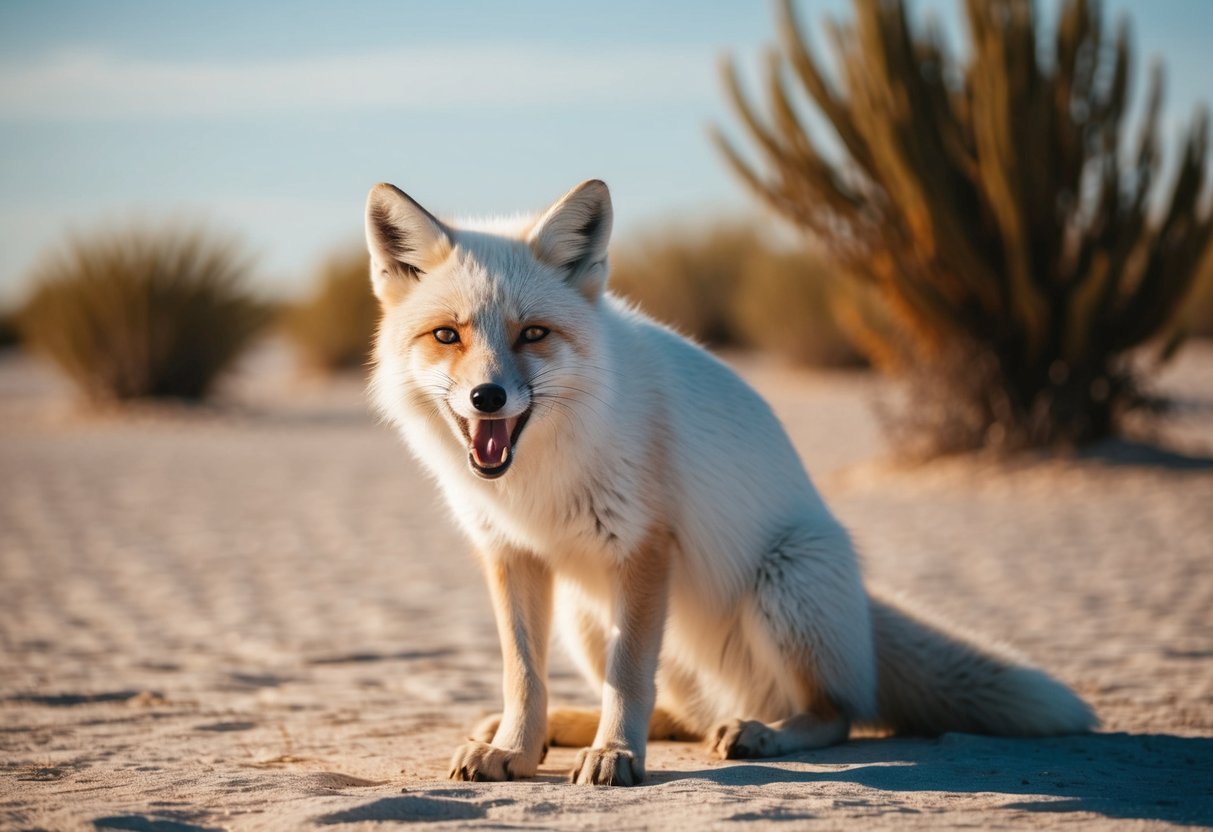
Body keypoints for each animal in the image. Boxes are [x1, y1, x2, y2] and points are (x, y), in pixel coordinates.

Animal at [364, 178, 1097, 786]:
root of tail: (863, 609)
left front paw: (616, 756)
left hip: (785, 581)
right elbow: (525, 677)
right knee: (676, 711)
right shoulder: (511, 553)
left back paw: (757, 733)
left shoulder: (645, 547)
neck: (537, 482)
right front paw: (517, 749)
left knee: (835, 713)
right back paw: (564, 730)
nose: (487, 397)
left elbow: (629, 680)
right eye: (448, 336)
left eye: (533, 334)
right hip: (584, 612)